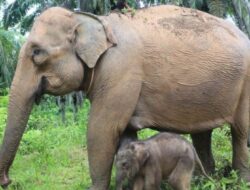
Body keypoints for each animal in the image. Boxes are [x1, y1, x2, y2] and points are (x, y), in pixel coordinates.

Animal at [0, 5, 250, 189]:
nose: (7, 181)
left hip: (246, 82)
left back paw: (239, 182)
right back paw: (205, 181)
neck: (91, 20)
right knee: (201, 133)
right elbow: (125, 134)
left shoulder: (120, 70)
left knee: (240, 132)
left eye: (37, 53)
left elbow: (102, 129)